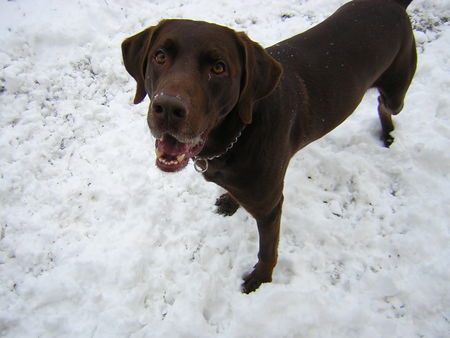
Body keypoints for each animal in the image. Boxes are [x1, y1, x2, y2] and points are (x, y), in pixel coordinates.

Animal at [121, 0, 416, 292]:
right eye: (160, 56)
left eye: (218, 68)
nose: (168, 108)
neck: (235, 136)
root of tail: (395, 5)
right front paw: (230, 201)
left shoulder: (270, 206)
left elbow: (267, 249)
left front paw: (260, 278)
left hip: (396, 92)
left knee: (384, 104)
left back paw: (388, 134)